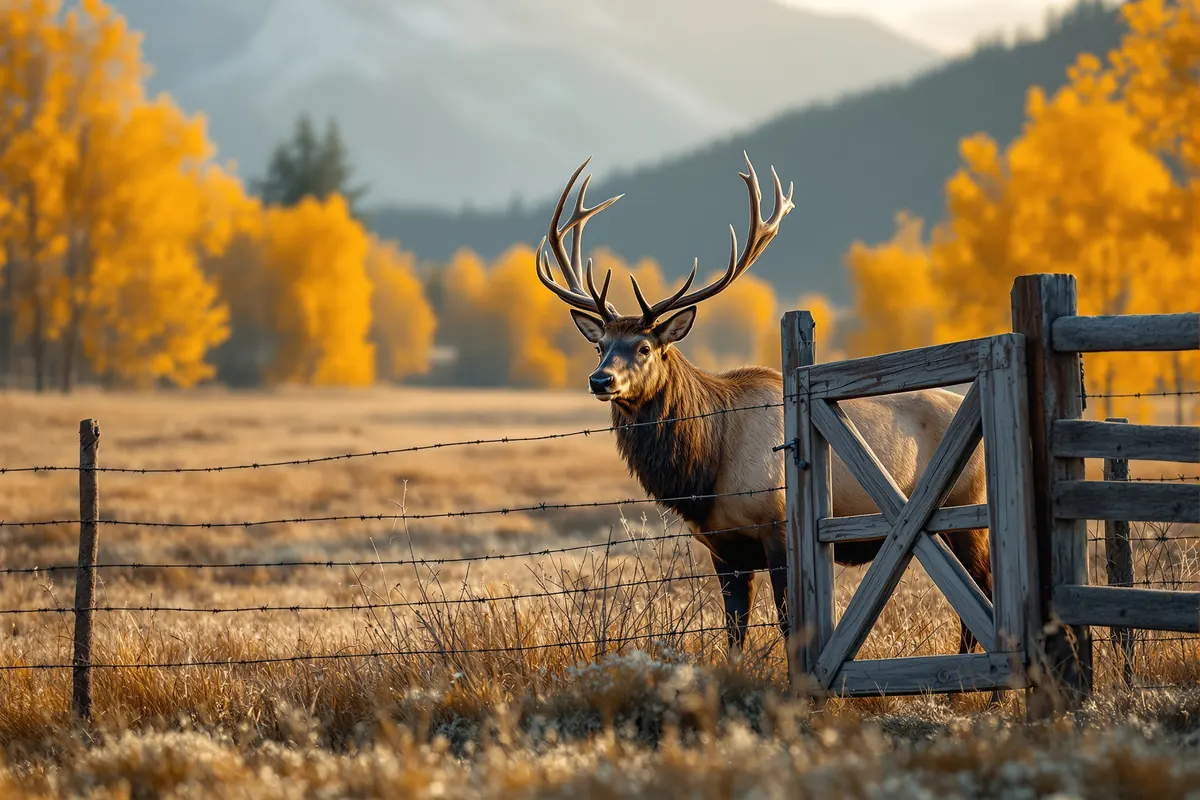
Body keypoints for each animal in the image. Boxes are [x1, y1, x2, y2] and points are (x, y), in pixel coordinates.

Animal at [533, 153, 993, 674]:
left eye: (645, 346)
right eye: (601, 346)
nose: (600, 380)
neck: (704, 472)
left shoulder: (778, 530)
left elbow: (791, 625)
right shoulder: (723, 548)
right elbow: (735, 629)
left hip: (966, 508)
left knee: (983, 590)